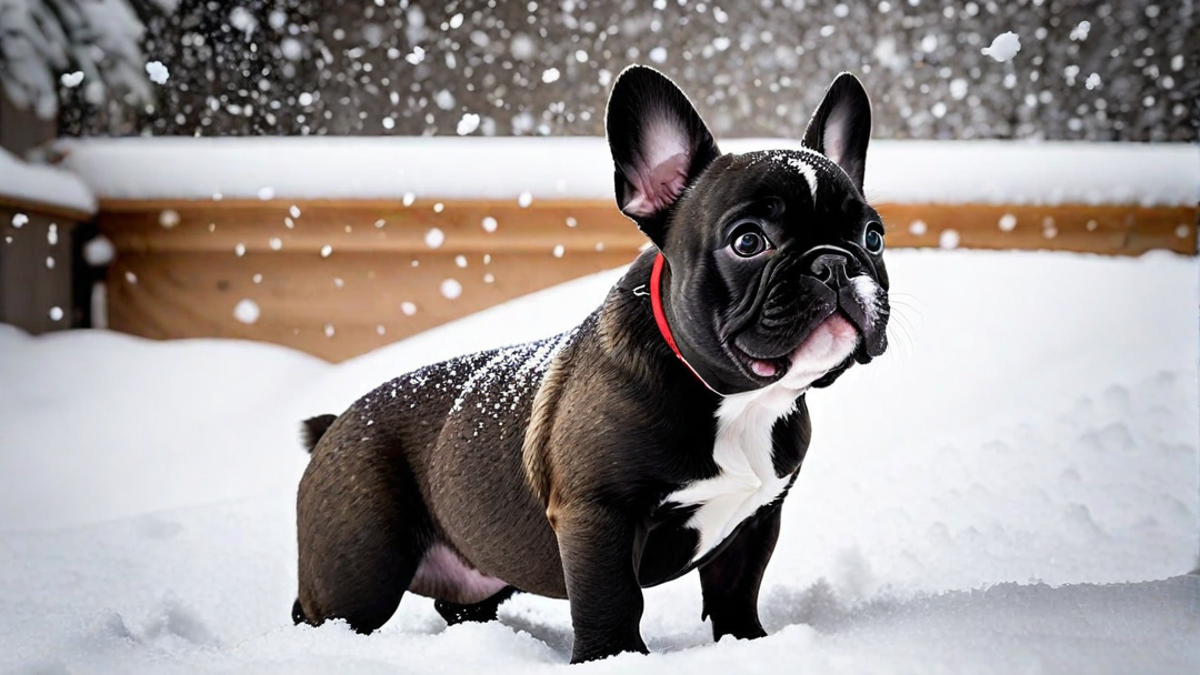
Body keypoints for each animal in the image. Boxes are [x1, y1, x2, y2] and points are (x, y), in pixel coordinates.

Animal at [292, 64, 892, 662]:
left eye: (873, 236)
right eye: (748, 242)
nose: (834, 263)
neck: (737, 401)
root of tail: (336, 422)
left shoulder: (758, 518)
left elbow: (737, 588)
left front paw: (746, 645)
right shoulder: (598, 515)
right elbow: (612, 596)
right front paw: (613, 657)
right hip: (361, 567)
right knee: (325, 610)